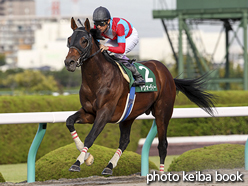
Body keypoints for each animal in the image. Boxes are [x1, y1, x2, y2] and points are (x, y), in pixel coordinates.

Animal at [63, 17, 215, 174]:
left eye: (84, 40)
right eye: (69, 39)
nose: (69, 62)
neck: (98, 78)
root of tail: (167, 74)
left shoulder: (104, 112)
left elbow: (90, 137)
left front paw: (78, 162)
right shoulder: (89, 113)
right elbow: (69, 122)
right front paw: (88, 157)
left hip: (163, 113)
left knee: (162, 145)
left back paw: (161, 172)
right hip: (128, 116)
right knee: (124, 141)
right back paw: (109, 166)